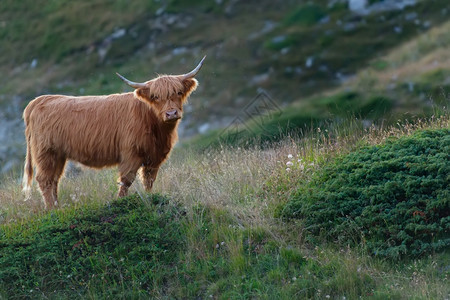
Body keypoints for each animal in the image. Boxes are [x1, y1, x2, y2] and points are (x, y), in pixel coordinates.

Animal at [21, 56, 204, 209]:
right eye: (155, 96)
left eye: (178, 92)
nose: (171, 113)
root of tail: (38, 101)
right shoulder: (130, 154)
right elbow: (126, 180)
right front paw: (121, 202)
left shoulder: (154, 157)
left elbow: (149, 180)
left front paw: (150, 197)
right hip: (46, 152)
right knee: (45, 180)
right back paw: (52, 210)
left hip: (58, 155)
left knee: (54, 180)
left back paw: (58, 207)